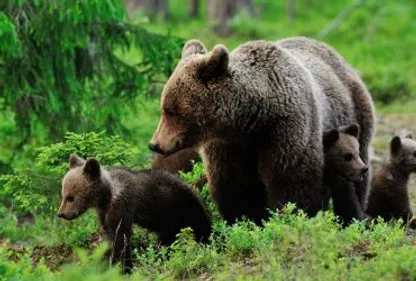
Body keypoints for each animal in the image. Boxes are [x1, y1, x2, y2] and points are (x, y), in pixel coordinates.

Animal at [149, 37, 374, 224]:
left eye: (171, 111)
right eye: (164, 107)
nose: (155, 144)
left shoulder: (287, 130)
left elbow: (291, 181)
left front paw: (288, 217)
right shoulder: (230, 145)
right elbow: (236, 186)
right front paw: (247, 221)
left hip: (354, 117)